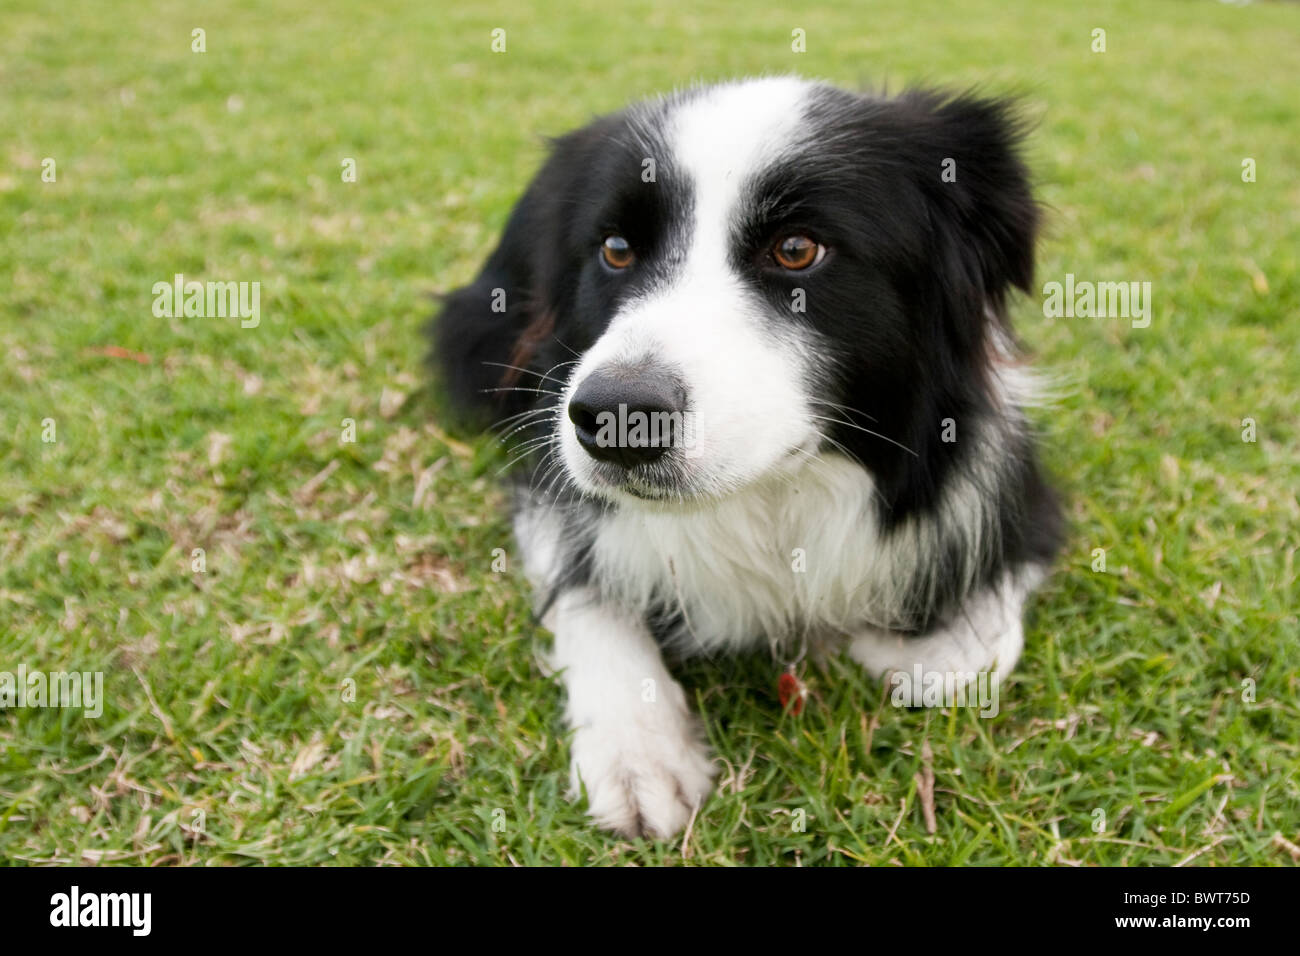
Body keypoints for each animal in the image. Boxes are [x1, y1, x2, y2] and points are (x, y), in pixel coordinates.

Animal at [431, 78, 1060, 837]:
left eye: (796, 249)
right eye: (616, 248)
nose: (614, 418)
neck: (773, 497)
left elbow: (975, 647)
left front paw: (905, 647)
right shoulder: (545, 459)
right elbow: (586, 590)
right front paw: (638, 752)